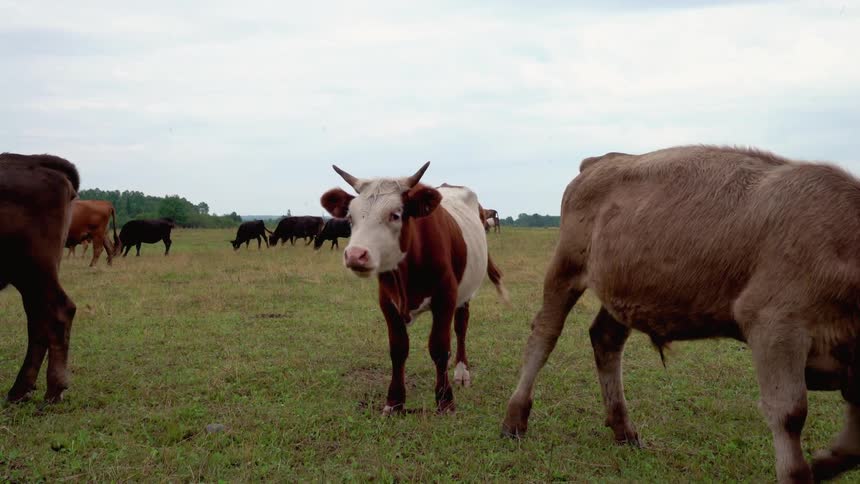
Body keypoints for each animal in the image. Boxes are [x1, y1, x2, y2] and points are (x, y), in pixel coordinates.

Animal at [0, 153, 78, 403]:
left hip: (33, 271)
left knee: (58, 312)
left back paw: (53, 389)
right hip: (33, 279)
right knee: (39, 320)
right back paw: (20, 391)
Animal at [321, 162, 509, 415]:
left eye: (395, 214)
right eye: (350, 217)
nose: (355, 255)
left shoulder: (445, 298)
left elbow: (439, 348)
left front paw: (445, 400)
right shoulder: (387, 303)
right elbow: (398, 349)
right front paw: (394, 402)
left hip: (465, 293)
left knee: (461, 327)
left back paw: (461, 373)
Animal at [501, 145, 860, 483]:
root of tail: (602, 160)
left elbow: (852, 444)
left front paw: (823, 464)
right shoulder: (775, 325)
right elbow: (789, 412)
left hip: (619, 291)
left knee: (605, 339)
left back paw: (624, 430)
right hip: (566, 268)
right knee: (545, 333)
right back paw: (514, 420)